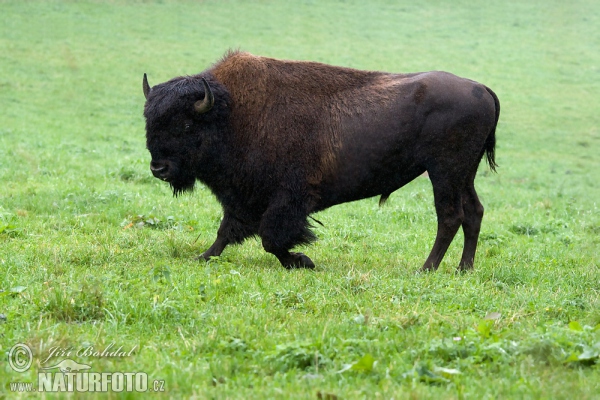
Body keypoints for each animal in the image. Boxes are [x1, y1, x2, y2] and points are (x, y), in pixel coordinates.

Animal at [143, 50, 500, 272]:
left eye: (186, 125)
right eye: (149, 121)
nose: (159, 168)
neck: (231, 113)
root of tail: (481, 88)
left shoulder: (288, 197)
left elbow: (272, 238)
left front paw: (303, 261)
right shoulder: (243, 196)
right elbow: (227, 230)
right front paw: (203, 256)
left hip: (444, 172)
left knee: (450, 216)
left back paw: (426, 269)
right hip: (464, 175)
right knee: (474, 213)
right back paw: (463, 269)